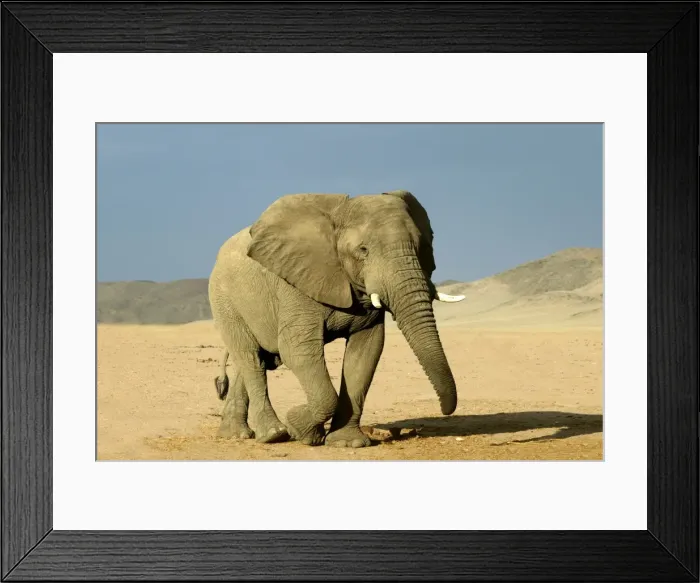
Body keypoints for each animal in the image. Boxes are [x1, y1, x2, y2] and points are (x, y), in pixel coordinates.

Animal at [208, 190, 465, 447]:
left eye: (421, 246)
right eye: (363, 250)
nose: (446, 410)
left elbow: (365, 352)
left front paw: (346, 443)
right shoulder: (295, 285)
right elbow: (297, 351)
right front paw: (298, 427)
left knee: (253, 361)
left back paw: (235, 434)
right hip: (224, 300)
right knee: (250, 357)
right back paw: (274, 434)